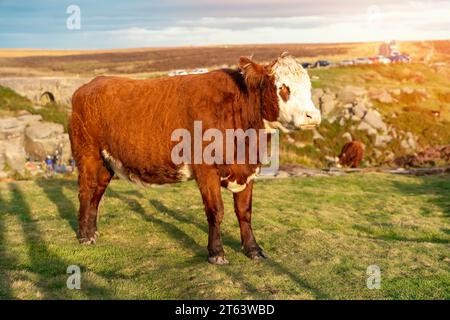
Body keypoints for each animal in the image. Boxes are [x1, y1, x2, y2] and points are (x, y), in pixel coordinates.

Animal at [69, 52, 320, 264]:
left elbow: (245, 212)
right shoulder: (206, 170)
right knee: (85, 192)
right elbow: (216, 211)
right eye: (283, 87)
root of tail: (88, 86)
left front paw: (253, 249)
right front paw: (216, 253)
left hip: (106, 162)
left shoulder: (247, 171)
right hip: (87, 155)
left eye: (308, 87)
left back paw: (92, 232)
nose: (313, 116)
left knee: (96, 194)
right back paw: (84, 236)